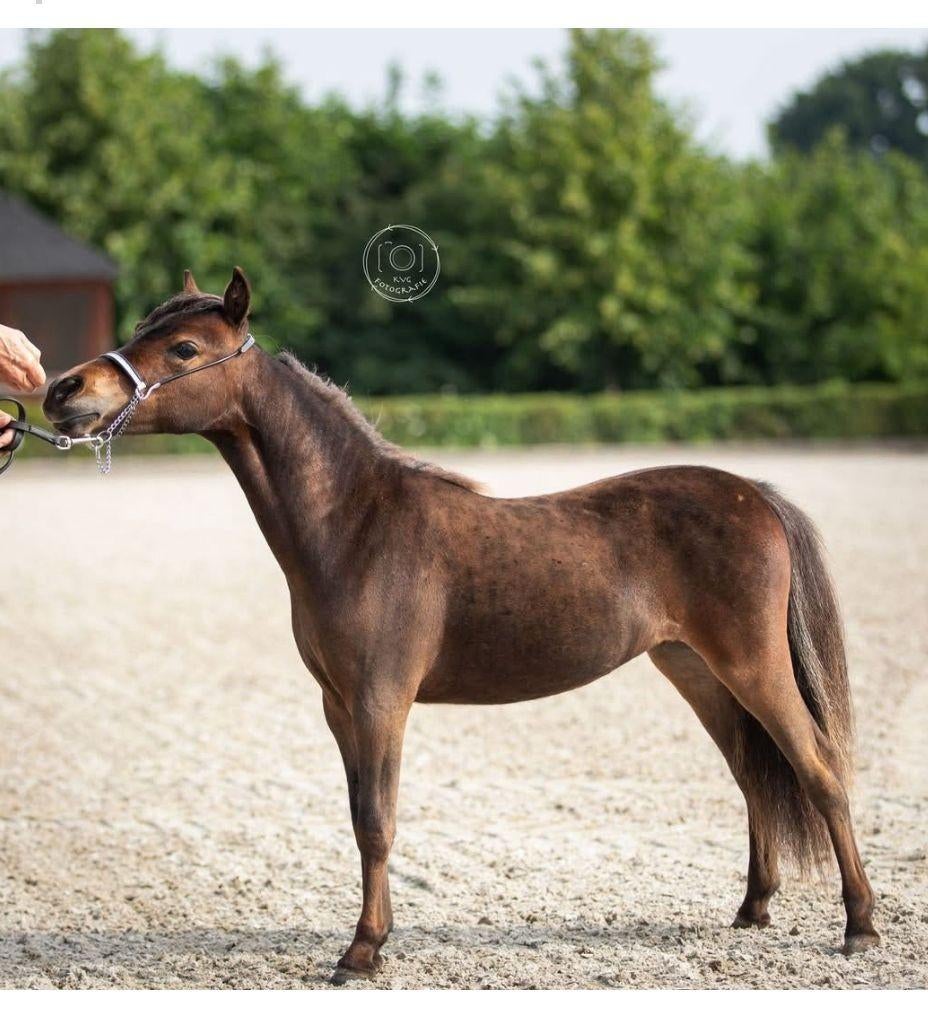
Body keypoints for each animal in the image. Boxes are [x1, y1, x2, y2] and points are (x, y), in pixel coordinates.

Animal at [43, 267, 880, 982]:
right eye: (144, 325)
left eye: (184, 348)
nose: (61, 390)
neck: (356, 525)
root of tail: (755, 495)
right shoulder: (338, 706)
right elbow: (358, 818)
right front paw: (370, 940)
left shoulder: (381, 701)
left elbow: (377, 822)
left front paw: (362, 952)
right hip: (694, 667)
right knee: (754, 774)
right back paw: (753, 908)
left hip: (752, 665)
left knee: (819, 769)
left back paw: (859, 926)